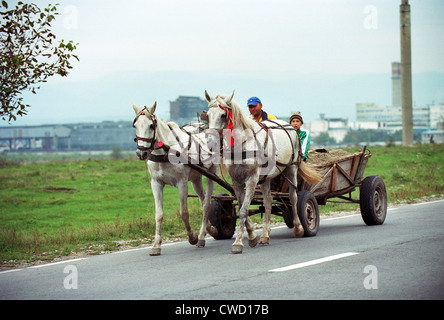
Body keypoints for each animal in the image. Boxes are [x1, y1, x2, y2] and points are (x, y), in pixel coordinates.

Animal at [134, 101, 219, 256]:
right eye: (135, 125)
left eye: (151, 125)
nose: (141, 153)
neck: (166, 152)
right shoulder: (156, 183)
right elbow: (159, 215)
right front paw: (156, 245)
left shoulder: (182, 183)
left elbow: (184, 213)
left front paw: (192, 237)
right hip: (196, 179)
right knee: (203, 199)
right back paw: (209, 229)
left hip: (211, 173)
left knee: (207, 204)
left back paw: (201, 237)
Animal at [205, 90, 320, 252]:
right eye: (208, 115)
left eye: (222, 115)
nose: (211, 143)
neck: (242, 144)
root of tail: (289, 126)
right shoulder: (237, 181)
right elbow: (243, 208)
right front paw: (252, 236)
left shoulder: (252, 179)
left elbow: (243, 210)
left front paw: (238, 242)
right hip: (266, 178)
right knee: (268, 202)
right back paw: (265, 235)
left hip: (291, 168)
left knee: (293, 197)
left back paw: (298, 228)